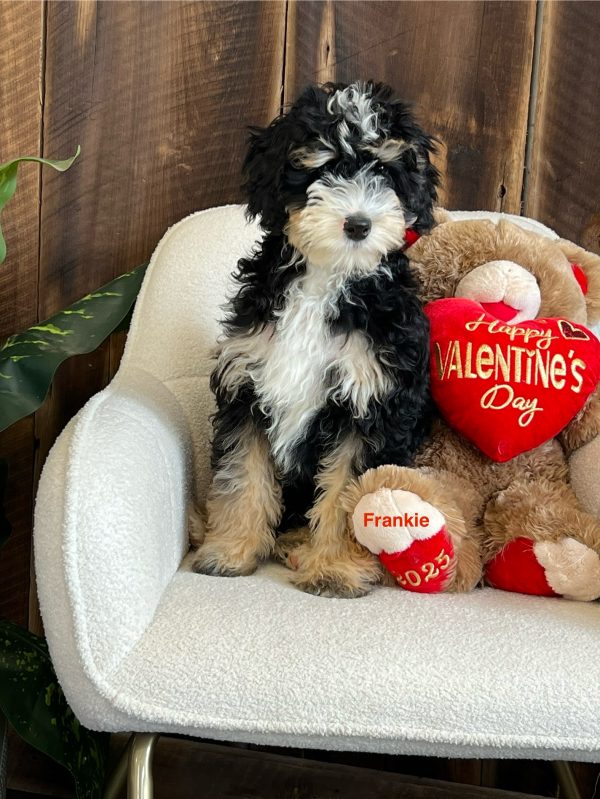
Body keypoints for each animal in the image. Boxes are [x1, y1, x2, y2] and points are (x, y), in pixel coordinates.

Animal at [195, 81, 438, 596]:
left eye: (383, 172)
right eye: (325, 168)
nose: (359, 224)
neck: (327, 278)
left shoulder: (370, 403)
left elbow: (350, 492)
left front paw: (335, 568)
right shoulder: (248, 386)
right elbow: (242, 474)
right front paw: (232, 551)